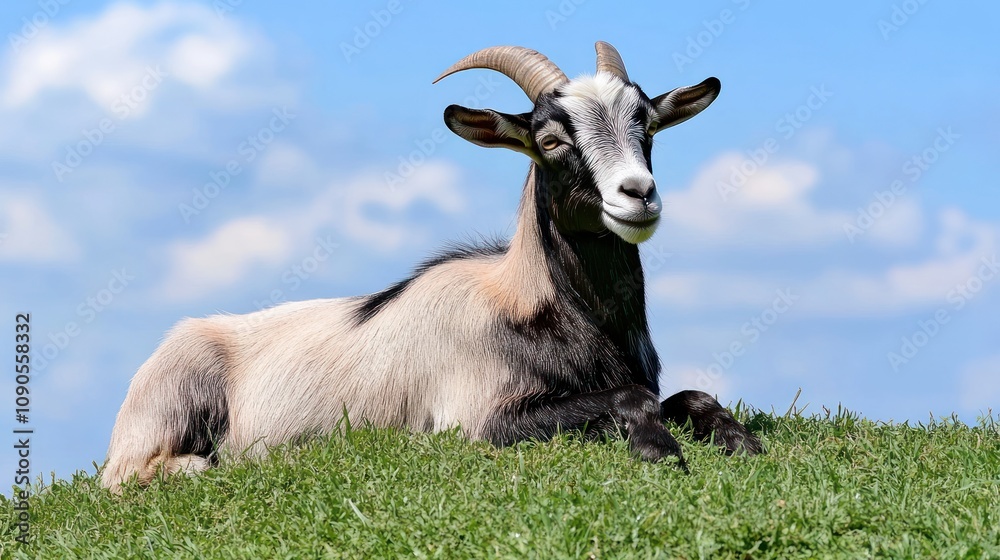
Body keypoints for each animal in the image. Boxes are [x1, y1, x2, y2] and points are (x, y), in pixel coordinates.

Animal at [101, 42, 762, 493]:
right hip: (165, 410)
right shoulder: (476, 421)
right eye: (550, 139)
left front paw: (743, 442)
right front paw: (659, 451)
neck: (531, 306)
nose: (638, 194)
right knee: (135, 474)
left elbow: (690, 394)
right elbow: (633, 397)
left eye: (644, 122)